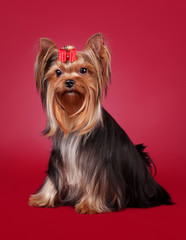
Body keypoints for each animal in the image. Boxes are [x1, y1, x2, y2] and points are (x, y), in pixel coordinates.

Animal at [29, 32, 173, 214]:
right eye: (58, 72)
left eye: (83, 70)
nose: (69, 82)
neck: (74, 117)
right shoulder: (59, 160)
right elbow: (53, 180)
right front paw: (42, 199)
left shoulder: (98, 165)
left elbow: (96, 182)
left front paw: (88, 205)